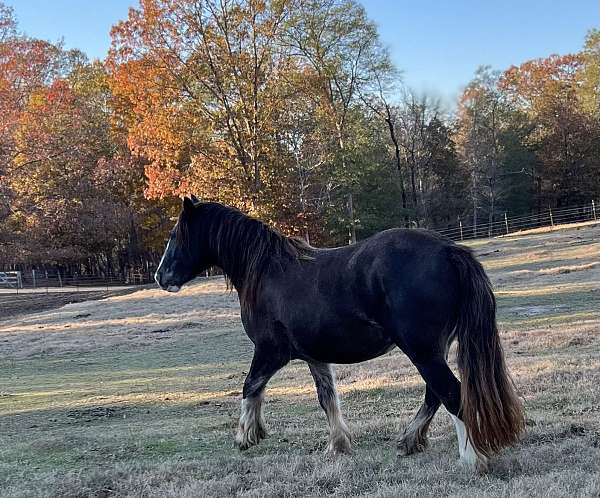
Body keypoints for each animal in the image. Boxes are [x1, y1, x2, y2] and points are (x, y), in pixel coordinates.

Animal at [156, 198, 524, 470]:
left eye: (175, 235)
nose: (161, 277)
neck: (267, 272)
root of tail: (449, 250)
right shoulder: (314, 356)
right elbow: (326, 398)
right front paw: (338, 445)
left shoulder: (270, 351)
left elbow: (250, 387)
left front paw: (245, 436)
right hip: (434, 349)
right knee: (435, 395)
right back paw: (409, 441)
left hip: (422, 350)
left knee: (451, 394)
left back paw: (471, 460)